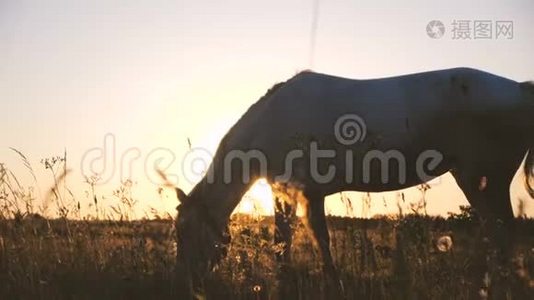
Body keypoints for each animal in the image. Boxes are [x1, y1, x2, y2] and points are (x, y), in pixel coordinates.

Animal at [175, 67, 534, 296]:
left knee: (500, 234)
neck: (271, 122)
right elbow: (294, 240)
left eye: (186, 231)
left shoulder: (304, 193)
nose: (185, 284)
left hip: (482, 179)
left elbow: (308, 241)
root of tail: (519, 88)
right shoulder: (293, 195)